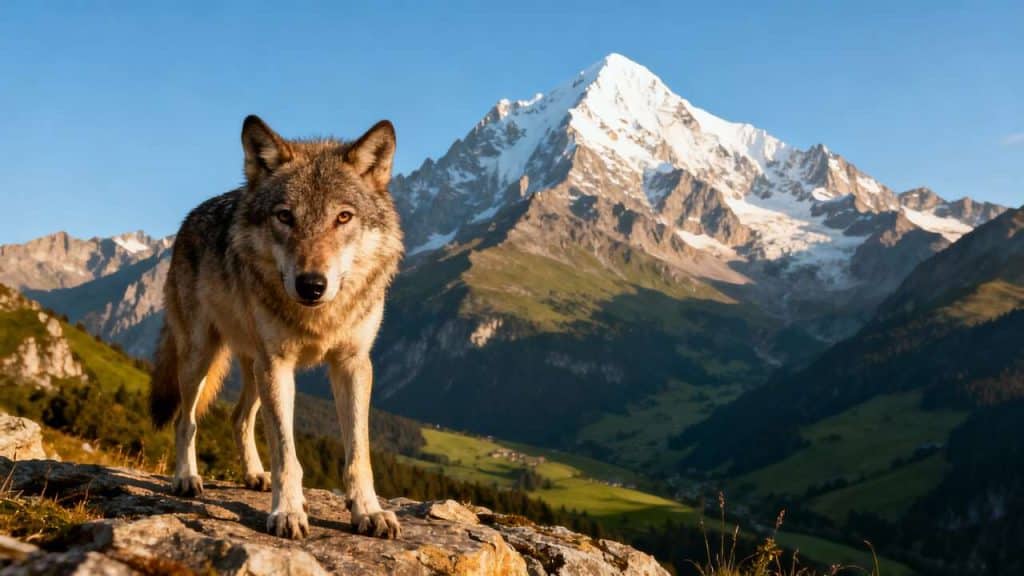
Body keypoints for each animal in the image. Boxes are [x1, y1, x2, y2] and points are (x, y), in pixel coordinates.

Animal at [148, 115, 404, 540]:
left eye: (343, 217)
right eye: (285, 216)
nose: (311, 284)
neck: (319, 318)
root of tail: (189, 218)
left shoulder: (352, 363)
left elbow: (358, 452)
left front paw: (368, 510)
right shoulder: (279, 364)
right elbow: (287, 453)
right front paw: (287, 512)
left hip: (254, 368)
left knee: (239, 418)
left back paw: (254, 475)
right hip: (203, 359)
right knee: (187, 421)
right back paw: (186, 478)